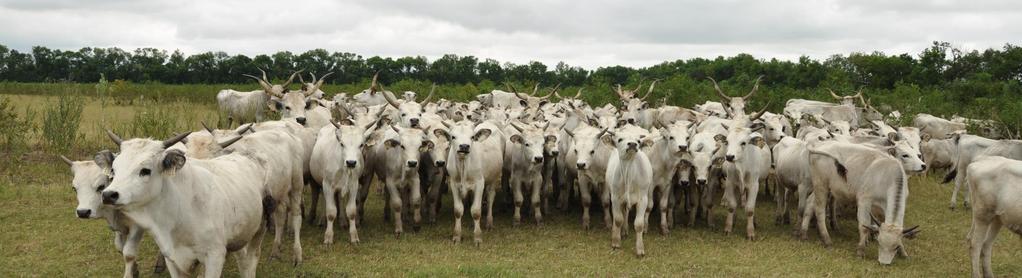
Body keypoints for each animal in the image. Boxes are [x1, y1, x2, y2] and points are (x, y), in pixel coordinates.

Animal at [99, 131, 271, 275]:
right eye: (114, 170)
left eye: (145, 170)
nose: (108, 195)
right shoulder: (172, 258)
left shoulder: (214, 257)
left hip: (259, 230)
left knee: (250, 261)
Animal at [605, 123, 654, 256]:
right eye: (620, 139)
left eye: (638, 141)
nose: (632, 144)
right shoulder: (615, 197)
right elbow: (618, 219)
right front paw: (616, 242)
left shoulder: (643, 199)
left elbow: (639, 224)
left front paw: (640, 249)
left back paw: (625, 231)